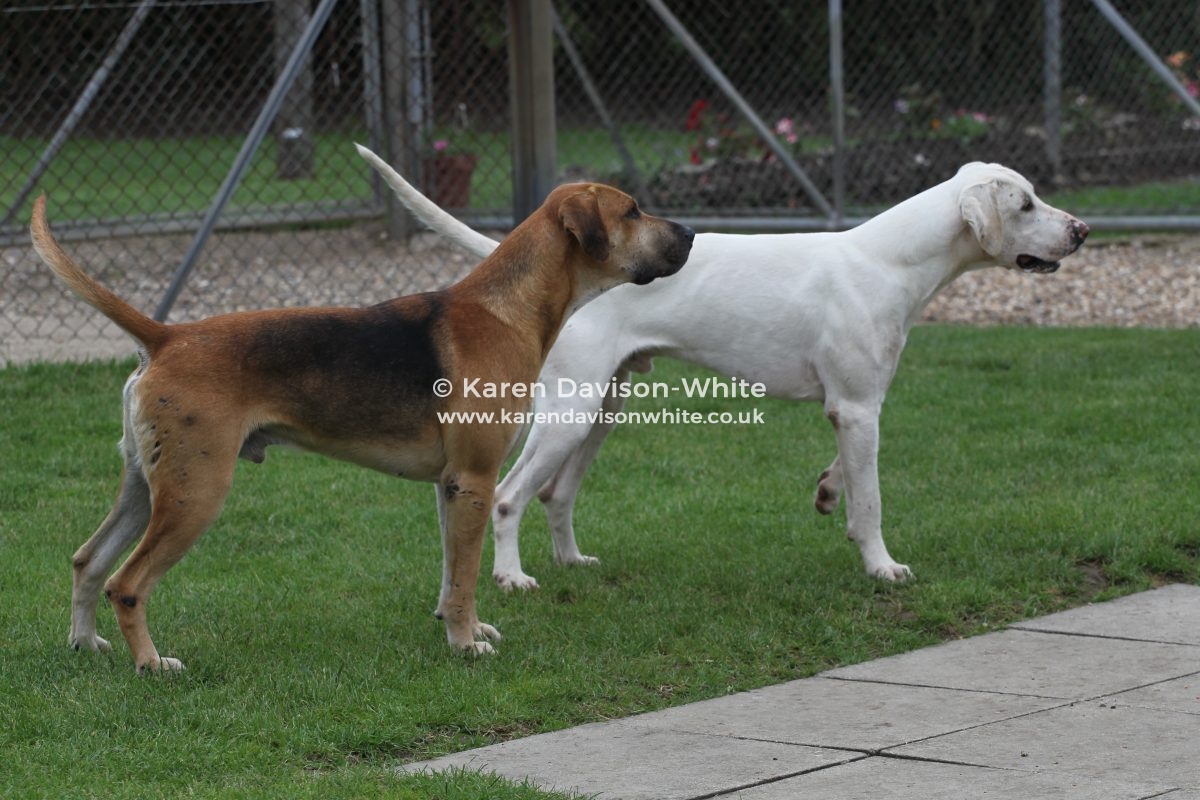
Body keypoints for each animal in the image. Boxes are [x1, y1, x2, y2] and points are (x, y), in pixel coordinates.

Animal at [30, 144, 694, 672]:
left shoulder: (451, 487)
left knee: (88, 563)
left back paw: (86, 645)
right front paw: (467, 645)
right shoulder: (476, 481)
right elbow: (467, 577)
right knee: (127, 583)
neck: (509, 308)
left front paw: (461, 628)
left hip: (147, 488)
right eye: (632, 211)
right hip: (196, 493)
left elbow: (453, 573)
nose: (689, 234)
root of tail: (167, 337)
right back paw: (150, 663)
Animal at [380, 162, 1089, 590]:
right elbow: (872, 503)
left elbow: (846, 476)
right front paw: (881, 567)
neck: (888, 261)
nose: (1082, 230)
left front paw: (829, 492)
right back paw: (511, 578)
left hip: (602, 412)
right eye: (1026, 204)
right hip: (570, 417)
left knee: (554, 496)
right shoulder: (860, 407)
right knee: (507, 496)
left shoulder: (853, 408)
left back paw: (571, 562)